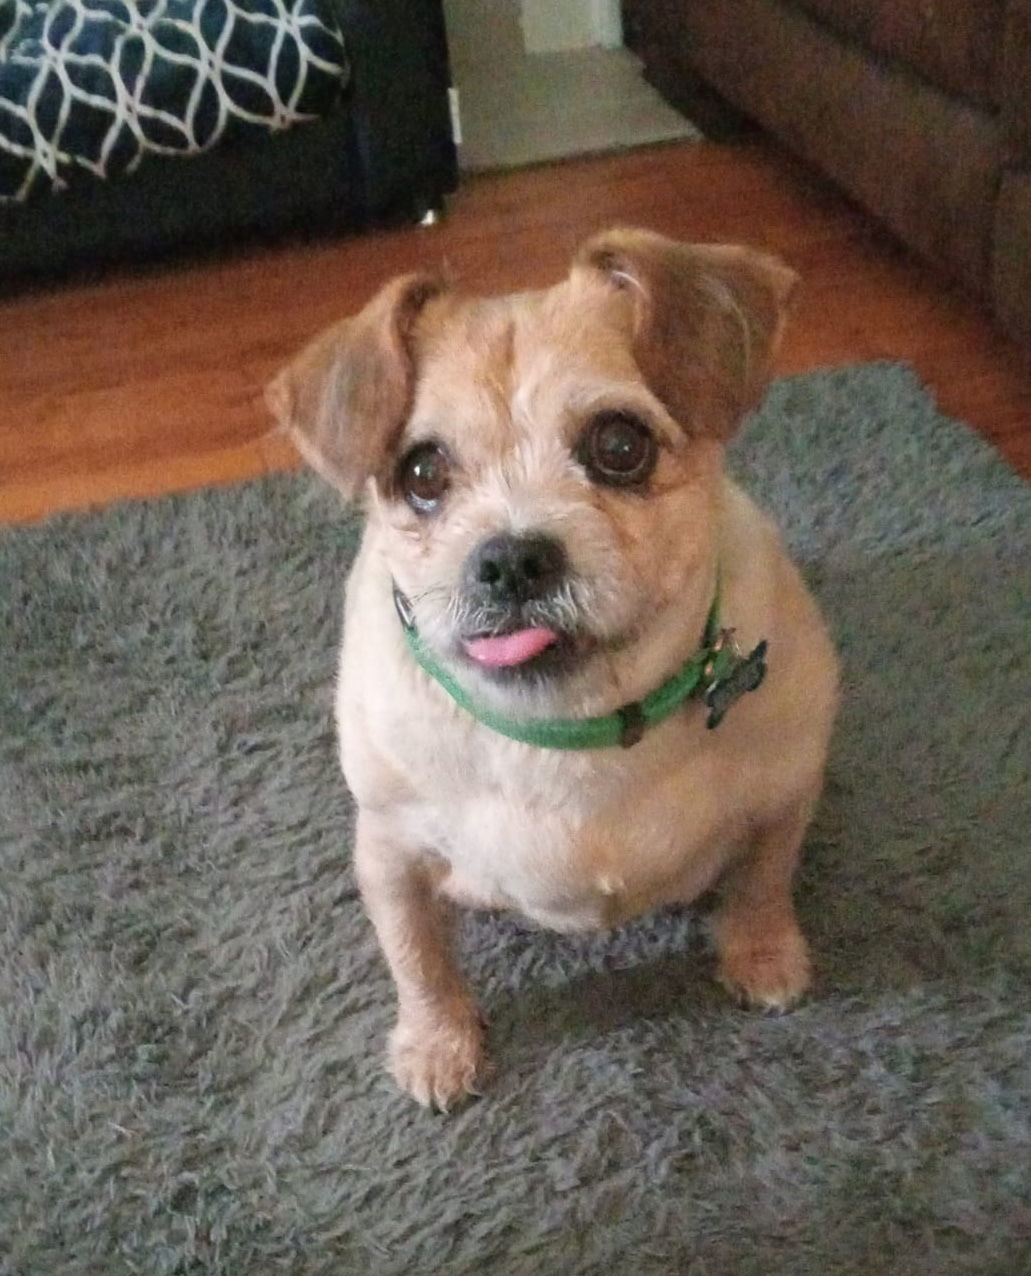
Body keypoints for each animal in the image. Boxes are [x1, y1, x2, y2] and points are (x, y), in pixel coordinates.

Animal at [269, 229, 842, 1107]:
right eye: (422, 474)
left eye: (619, 445)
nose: (511, 559)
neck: (570, 731)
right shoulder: (389, 853)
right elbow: (418, 960)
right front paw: (437, 1045)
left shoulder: (785, 793)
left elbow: (764, 881)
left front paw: (762, 954)